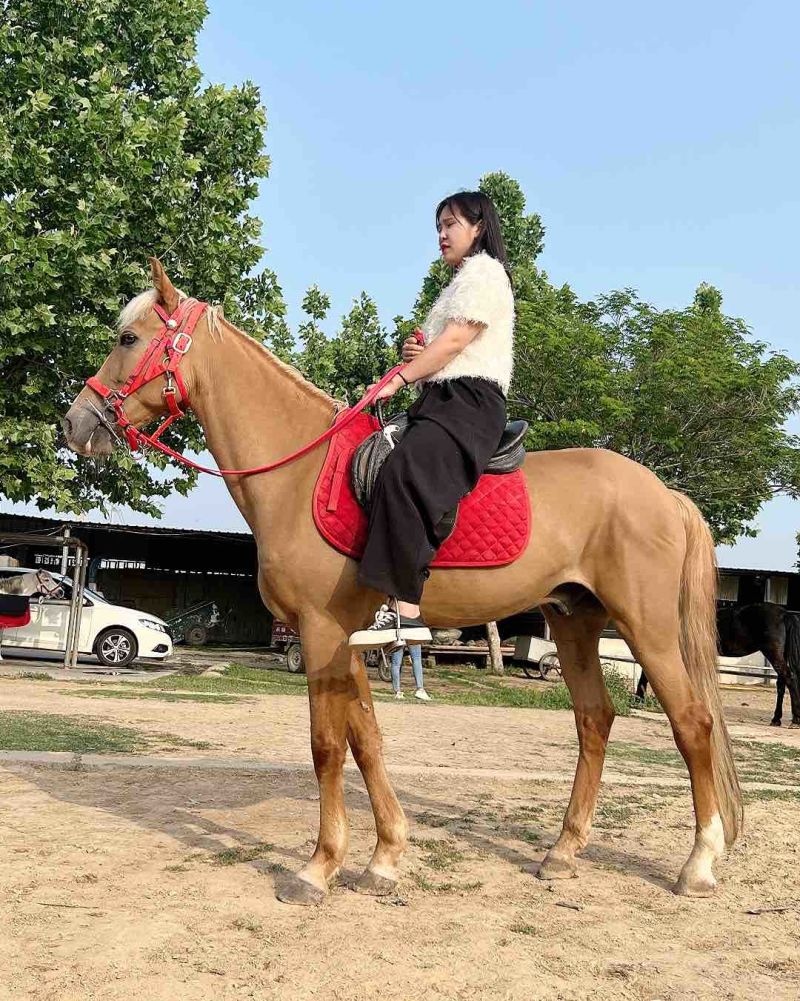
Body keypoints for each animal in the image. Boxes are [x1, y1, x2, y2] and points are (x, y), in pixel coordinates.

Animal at [62, 260, 743, 903]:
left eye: (127, 337)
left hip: (647, 628)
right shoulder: (348, 637)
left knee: (692, 723)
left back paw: (699, 864)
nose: (76, 424)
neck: (300, 471)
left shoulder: (320, 632)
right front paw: (384, 857)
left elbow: (326, 746)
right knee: (594, 719)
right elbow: (367, 740)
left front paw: (318, 868)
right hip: (575, 620)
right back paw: (563, 852)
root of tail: (663, 493)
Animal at [636, 602, 800, 727]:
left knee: (789, 679)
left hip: (773, 653)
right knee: (781, 684)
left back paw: (795, 720)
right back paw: (776, 719)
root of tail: (784, 614)